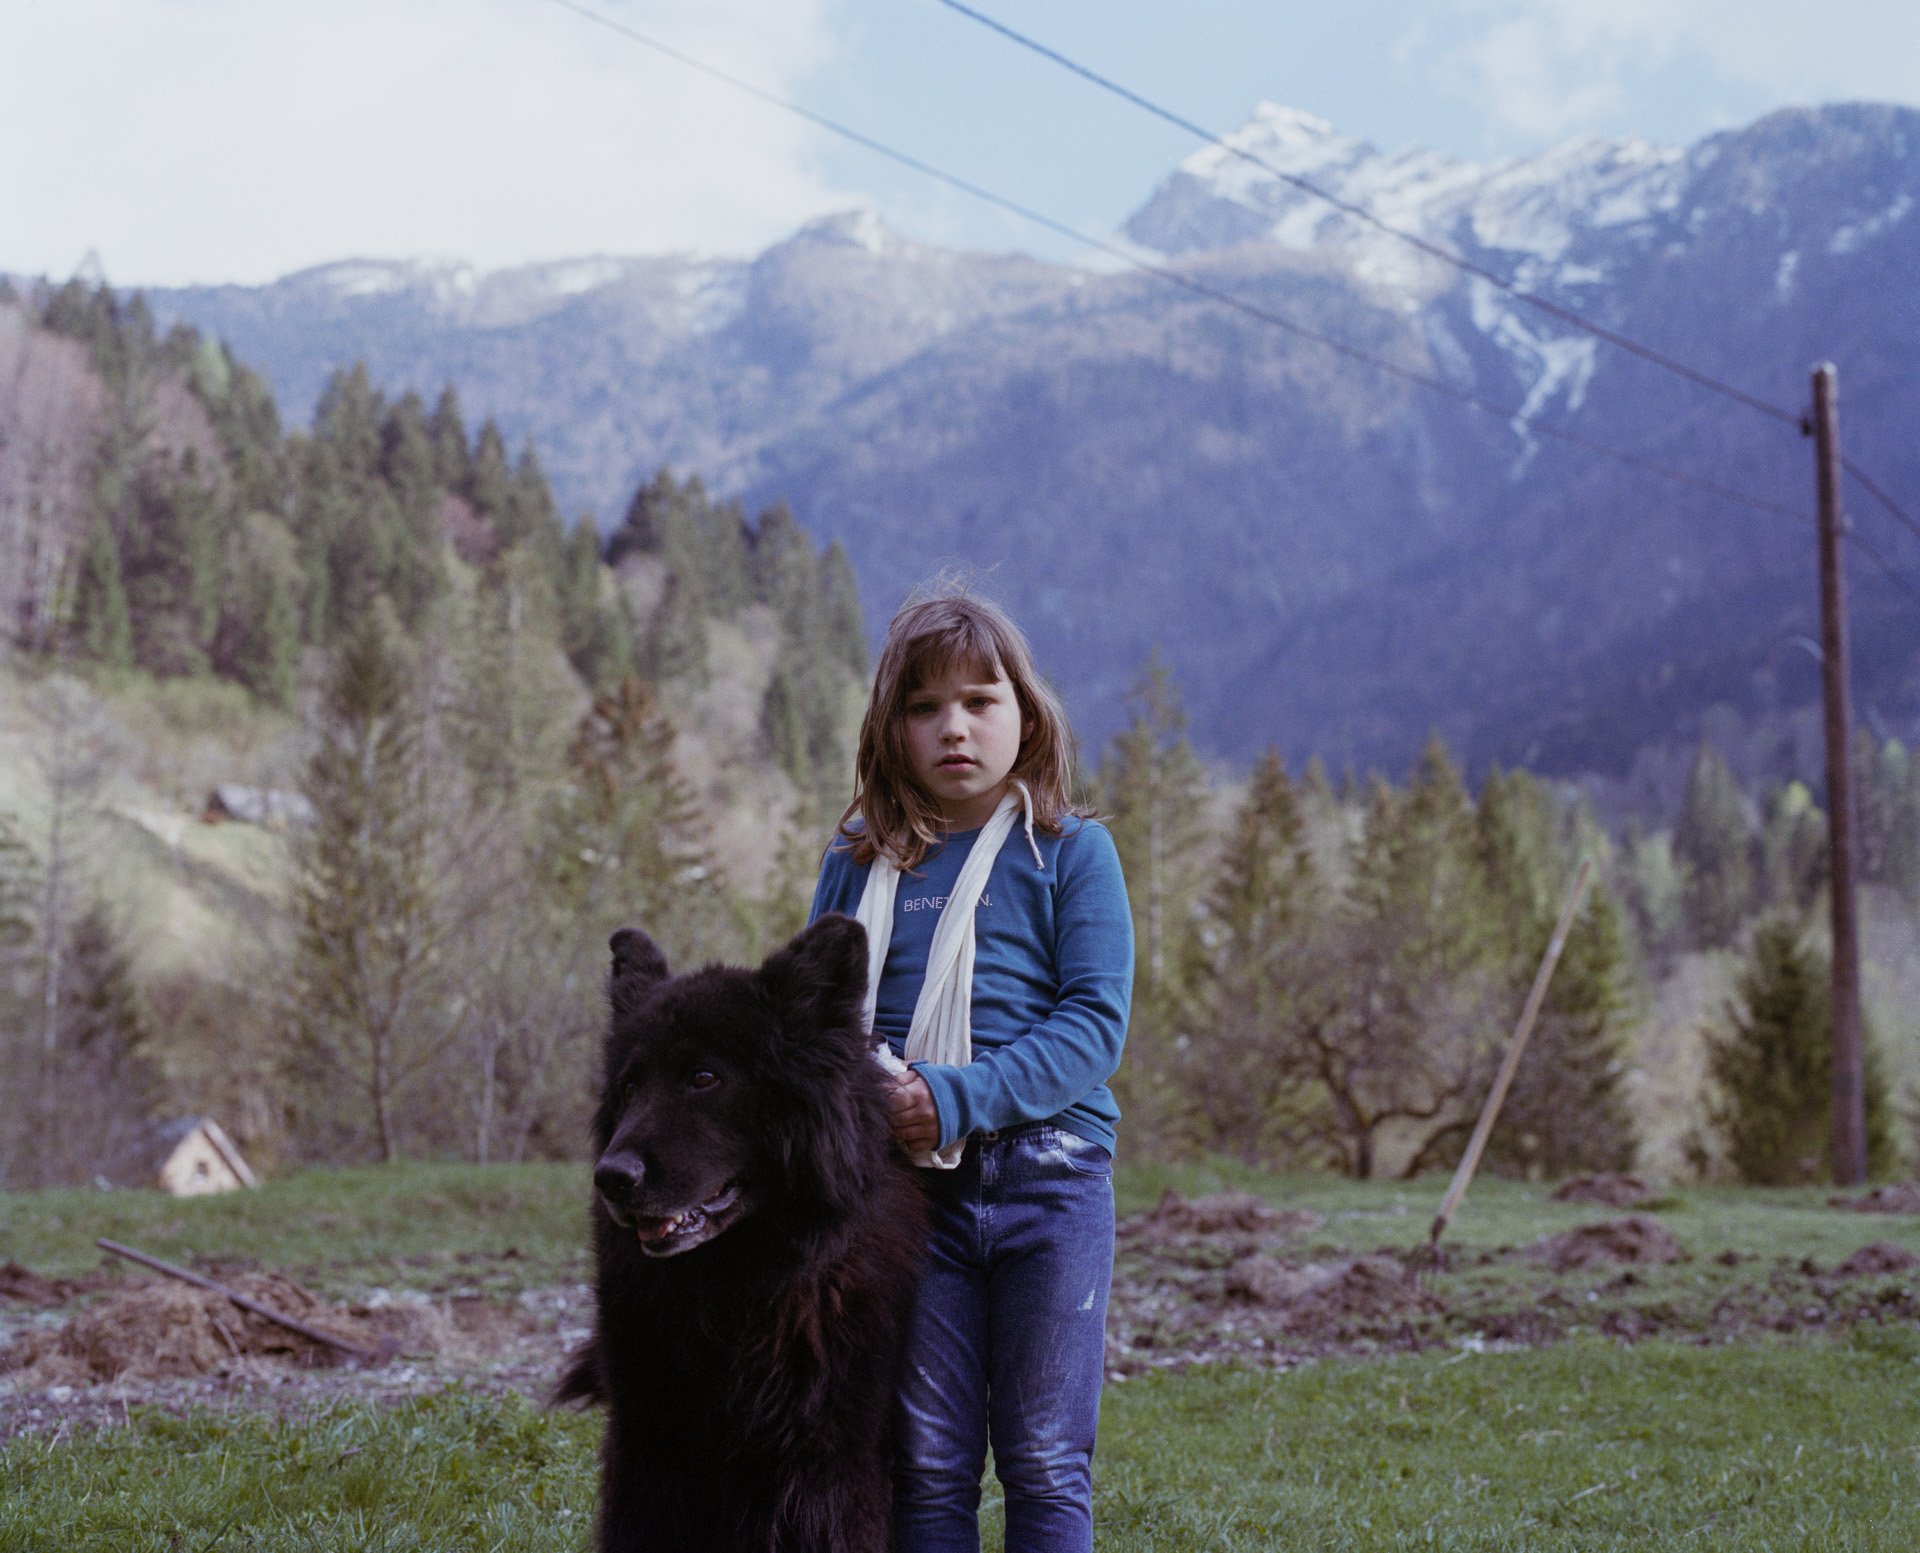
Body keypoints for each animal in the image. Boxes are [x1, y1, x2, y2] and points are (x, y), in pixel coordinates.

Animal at [556, 913, 929, 1543]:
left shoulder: (833, 1464)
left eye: (704, 1077)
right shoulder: (648, 1449)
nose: (611, 1177)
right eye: (630, 1088)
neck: (740, 1289)